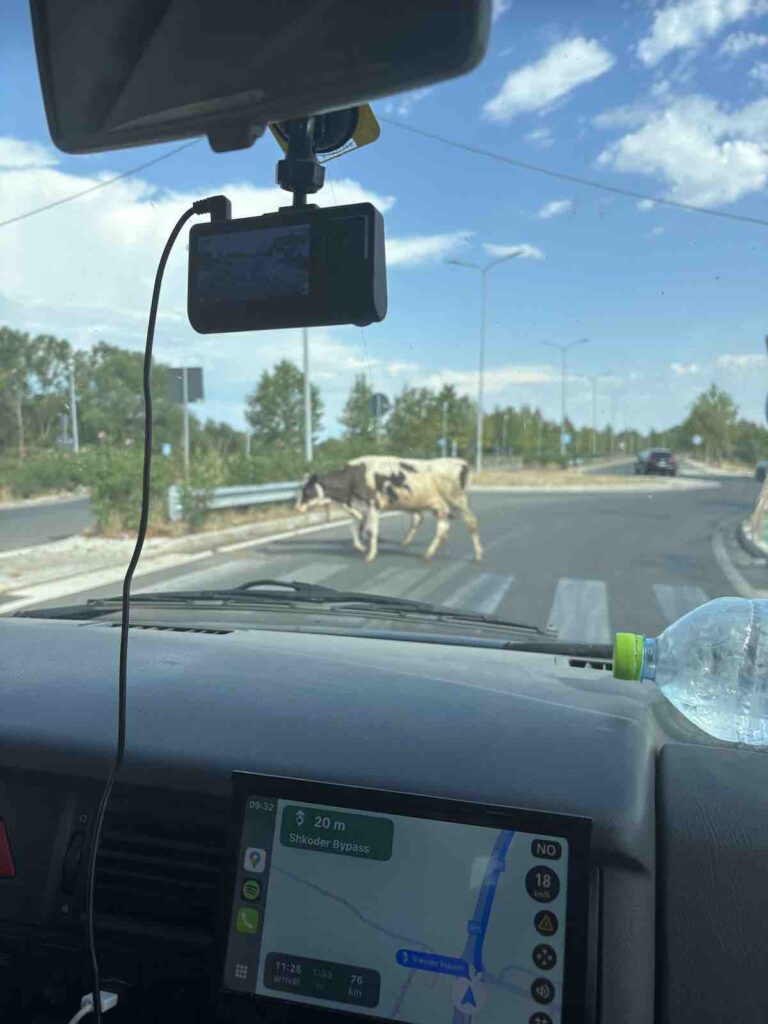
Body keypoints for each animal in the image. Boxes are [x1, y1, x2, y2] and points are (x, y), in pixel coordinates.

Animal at [296, 456, 483, 563]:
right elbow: (355, 528)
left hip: (457, 500)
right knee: (442, 528)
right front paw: (361, 547)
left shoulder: (373, 504)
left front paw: (370, 555)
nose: (297, 507)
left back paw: (478, 555)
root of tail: (460, 462)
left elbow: (371, 531)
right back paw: (428, 554)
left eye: (306, 491)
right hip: (440, 506)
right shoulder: (360, 507)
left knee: (471, 522)